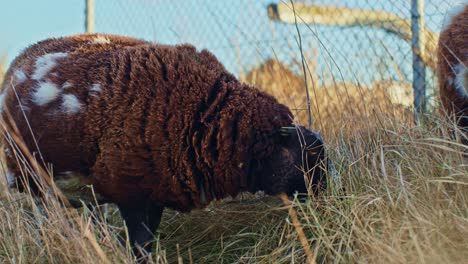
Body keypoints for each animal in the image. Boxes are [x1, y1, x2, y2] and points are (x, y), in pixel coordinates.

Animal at [0, 34, 330, 255]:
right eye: (307, 157)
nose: (326, 199)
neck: (209, 114)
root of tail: (19, 62)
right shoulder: (131, 191)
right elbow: (140, 244)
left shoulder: (155, 190)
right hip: (31, 179)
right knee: (41, 216)